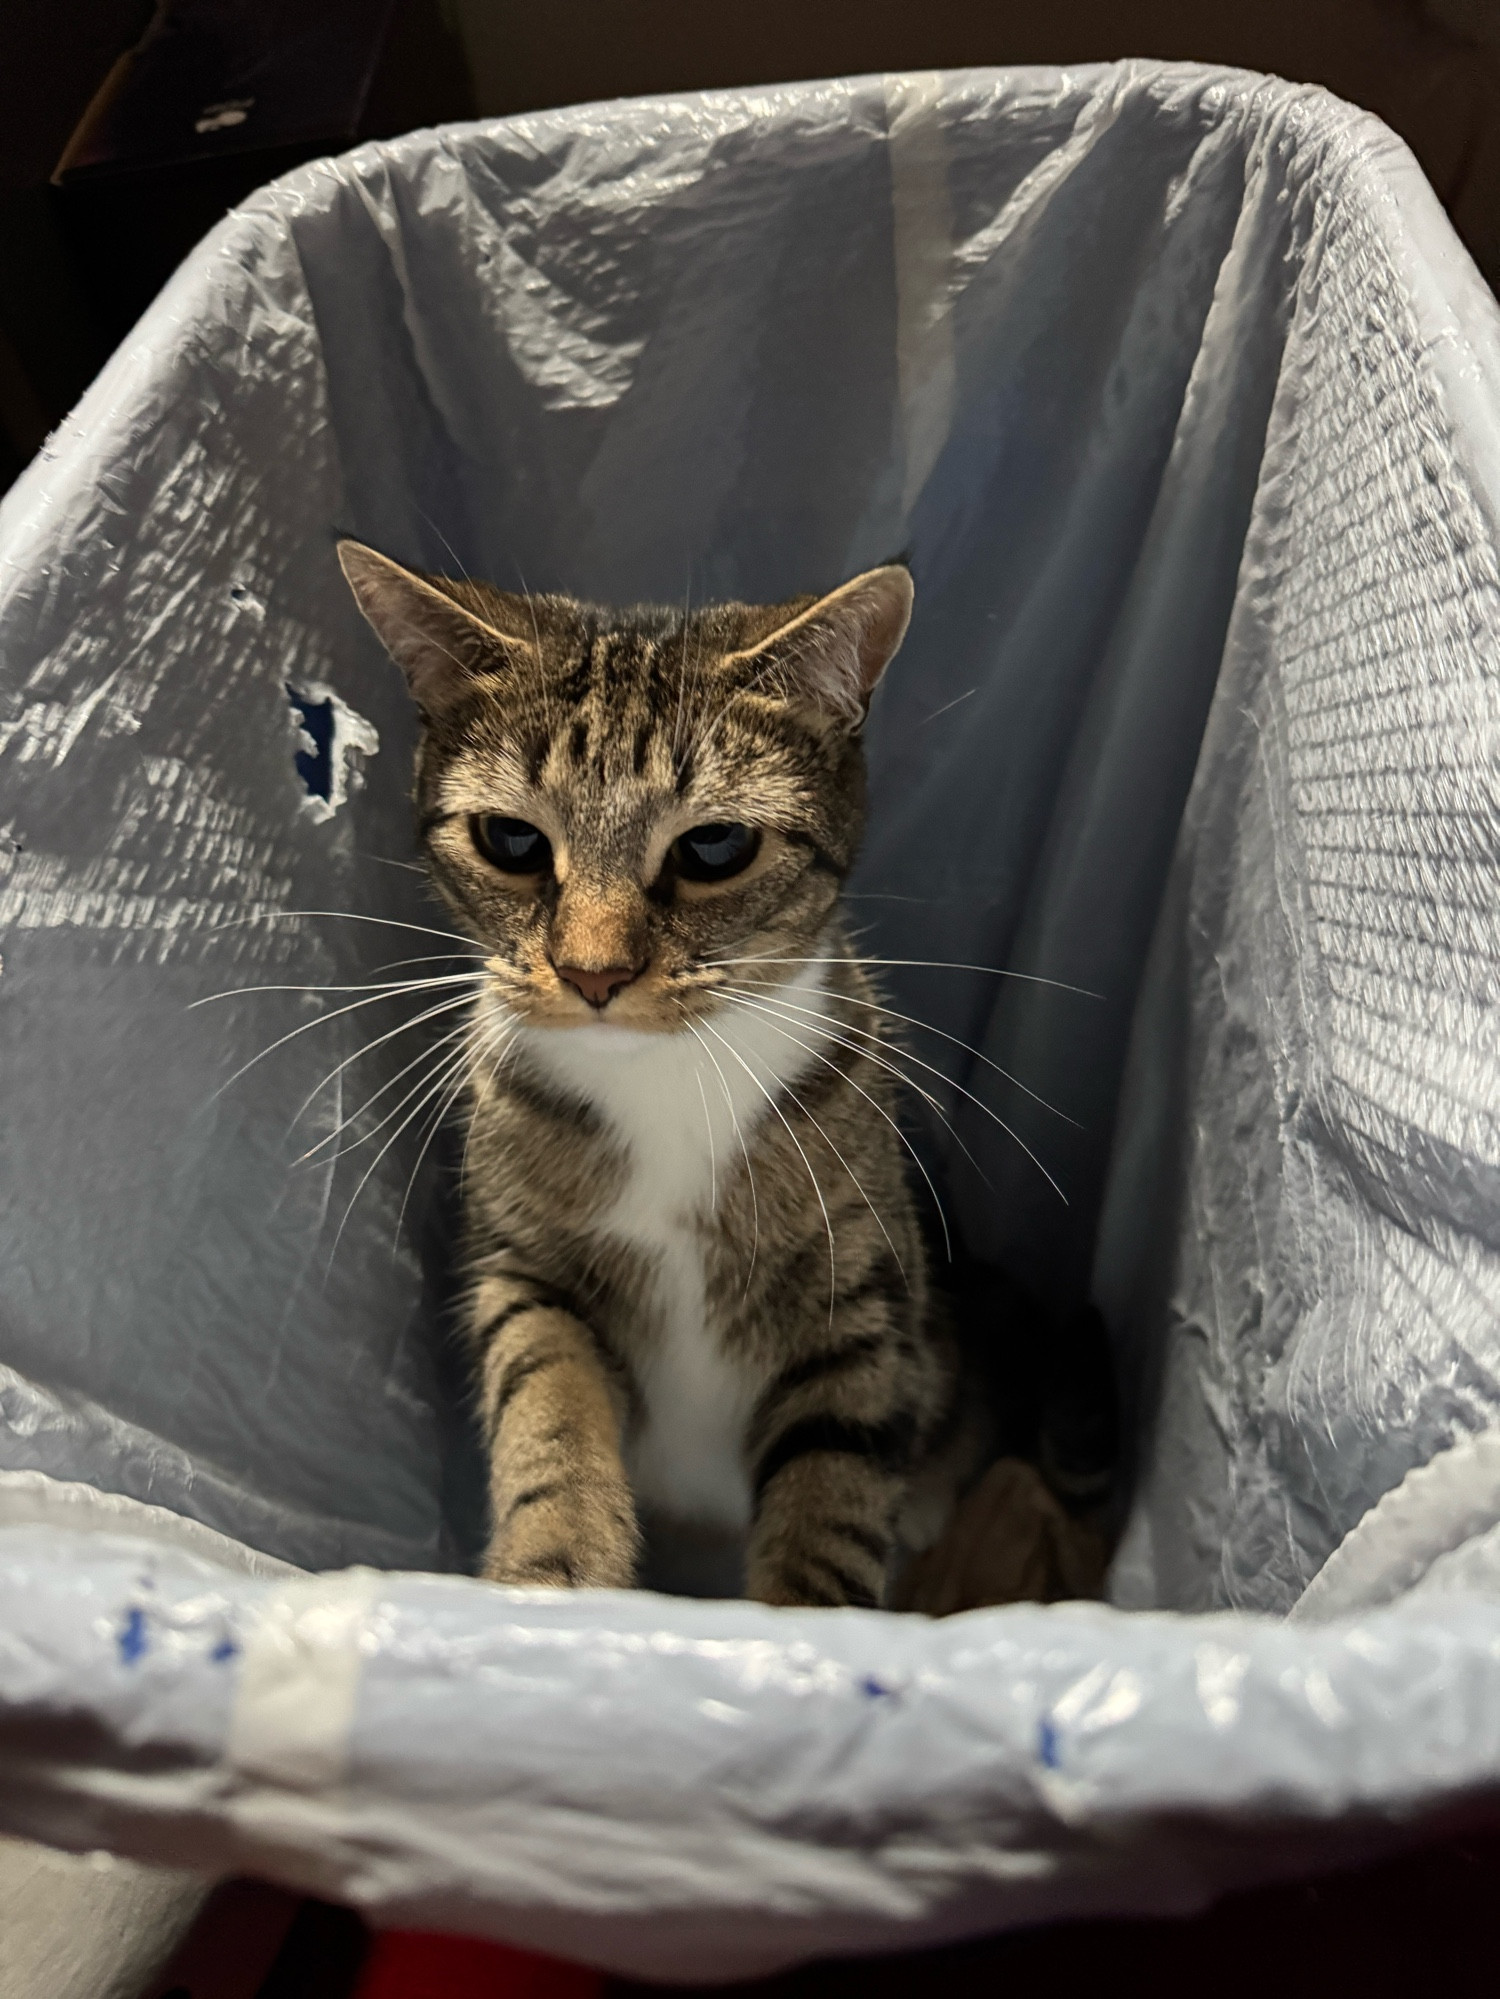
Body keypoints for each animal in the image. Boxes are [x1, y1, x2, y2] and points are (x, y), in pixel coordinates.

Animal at [334, 547, 1004, 1607]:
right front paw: (550, 1570)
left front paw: (810, 1618)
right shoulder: (528, 1267)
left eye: (714, 846)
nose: (593, 973)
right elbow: (548, 1404)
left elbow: (833, 1486)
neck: (664, 1087)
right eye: (511, 841)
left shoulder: (860, 1303)